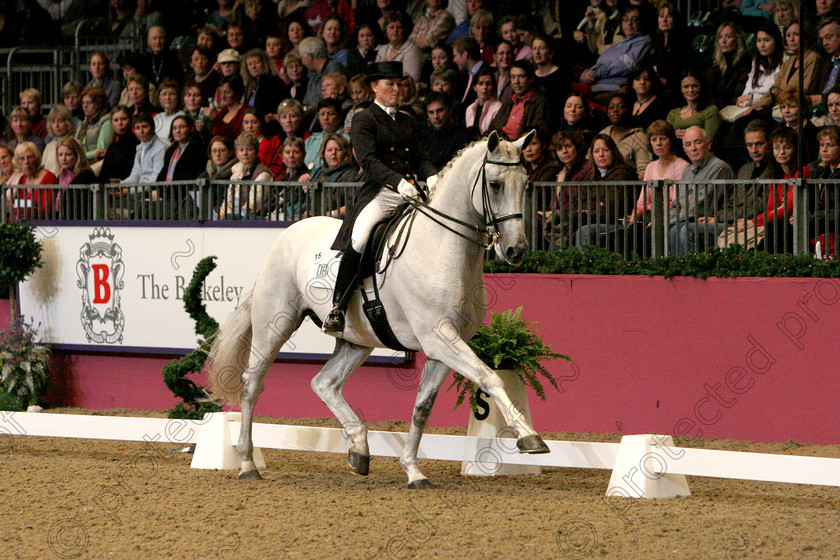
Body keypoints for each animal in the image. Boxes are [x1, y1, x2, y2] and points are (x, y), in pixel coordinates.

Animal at [208, 129, 552, 488]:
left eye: (525, 183)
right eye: (496, 185)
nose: (515, 250)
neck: (441, 245)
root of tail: (289, 231)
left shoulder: (444, 345)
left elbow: (422, 408)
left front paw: (413, 470)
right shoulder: (439, 337)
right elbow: (490, 377)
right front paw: (530, 437)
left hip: (356, 339)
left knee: (324, 383)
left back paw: (359, 448)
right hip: (275, 324)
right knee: (252, 384)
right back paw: (248, 463)